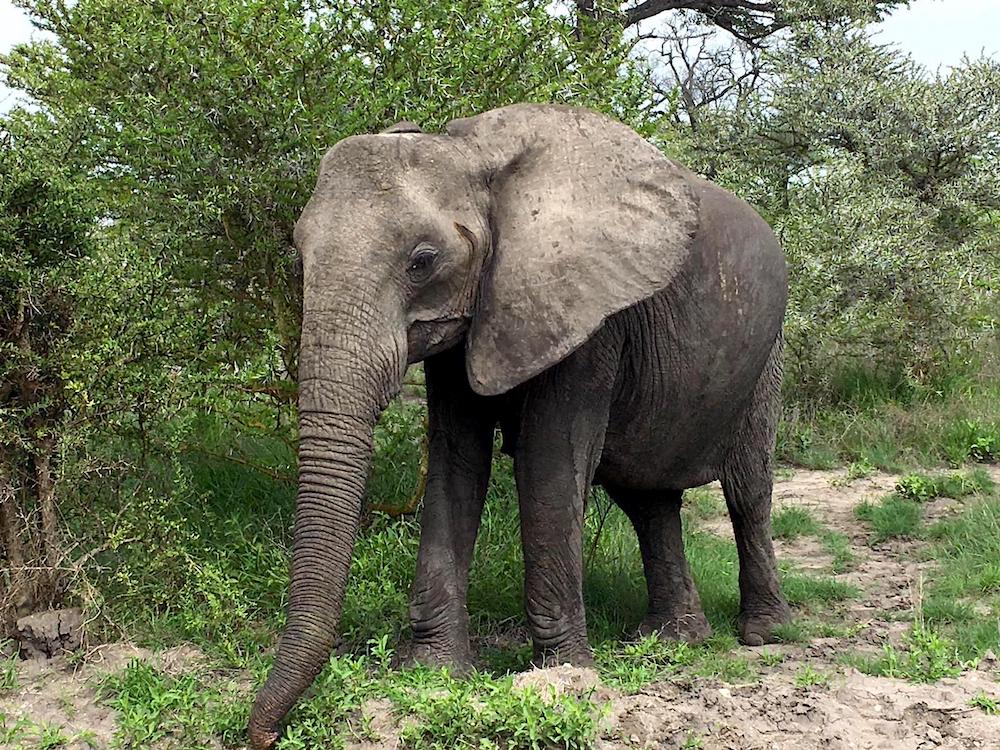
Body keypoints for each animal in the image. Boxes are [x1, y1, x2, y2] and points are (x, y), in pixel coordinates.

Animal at [248, 103, 788, 748]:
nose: (262, 735)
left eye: (422, 261)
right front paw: (432, 671)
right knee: (647, 498)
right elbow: (457, 458)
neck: (470, 156)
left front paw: (567, 677)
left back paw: (762, 634)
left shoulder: (586, 312)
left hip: (766, 359)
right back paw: (673, 638)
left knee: (747, 488)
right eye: (300, 256)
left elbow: (550, 463)